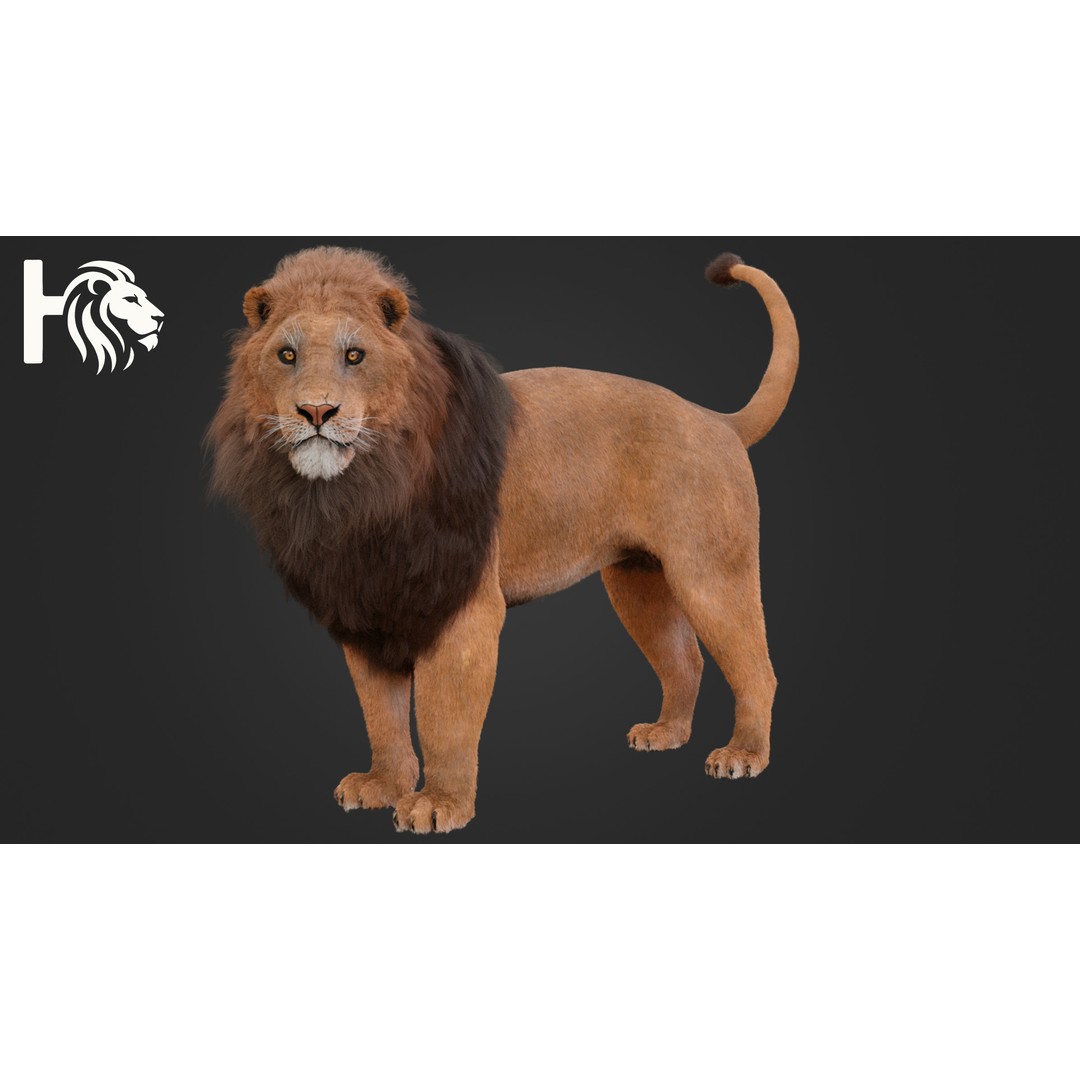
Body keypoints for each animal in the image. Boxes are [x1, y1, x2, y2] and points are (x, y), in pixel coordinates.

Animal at [208, 246, 798, 834]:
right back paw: (665, 734)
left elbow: (444, 718)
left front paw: (437, 804)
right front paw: (382, 785)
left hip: (710, 573)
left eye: (355, 355)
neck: (359, 493)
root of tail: (716, 420)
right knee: (685, 659)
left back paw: (742, 755)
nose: (316, 412)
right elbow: (382, 714)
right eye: (286, 355)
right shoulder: (367, 604)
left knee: (757, 670)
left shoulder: (464, 604)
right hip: (638, 579)